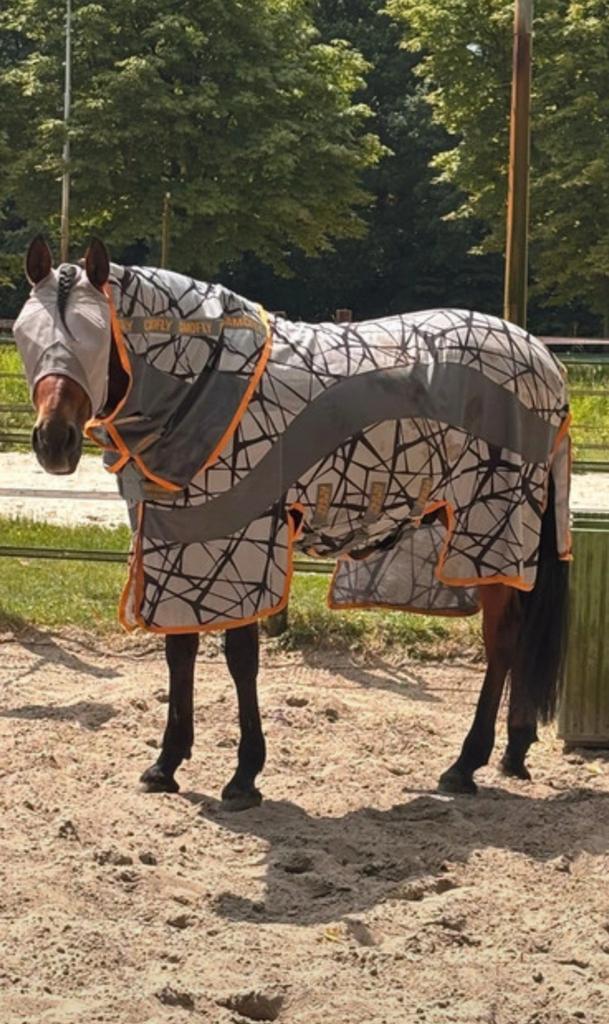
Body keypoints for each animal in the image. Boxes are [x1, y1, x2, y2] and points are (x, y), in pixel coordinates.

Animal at [13, 236, 571, 809]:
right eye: (23, 334)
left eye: (96, 336)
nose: (53, 442)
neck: (204, 387)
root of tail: (544, 359)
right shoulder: (180, 543)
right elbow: (180, 650)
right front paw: (166, 763)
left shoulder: (240, 541)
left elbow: (240, 657)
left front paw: (244, 774)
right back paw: (513, 751)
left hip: (494, 528)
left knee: (502, 640)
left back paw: (466, 764)